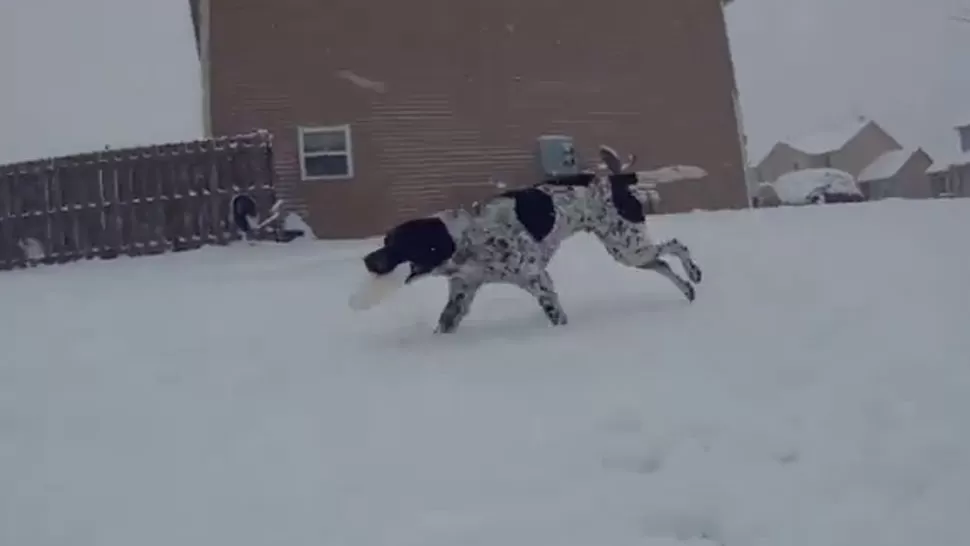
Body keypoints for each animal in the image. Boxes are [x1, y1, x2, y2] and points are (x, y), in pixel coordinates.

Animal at [362, 144, 704, 332]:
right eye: (385, 240)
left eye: (396, 244)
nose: (366, 260)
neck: (466, 238)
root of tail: (616, 178)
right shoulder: (461, 295)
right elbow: (445, 325)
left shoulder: (538, 280)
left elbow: (556, 315)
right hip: (628, 251)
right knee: (663, 262)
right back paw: (687, 289)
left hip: (630, 247)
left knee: (677, 245)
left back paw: (695, 273)